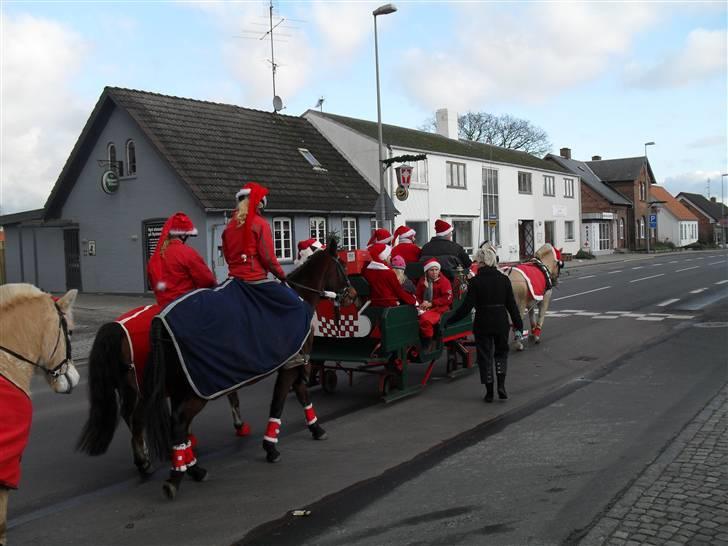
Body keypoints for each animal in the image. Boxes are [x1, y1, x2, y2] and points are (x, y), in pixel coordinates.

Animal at [75, 312, 249, 474]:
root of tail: (115, 328)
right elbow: (232, 395)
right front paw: (239, 426)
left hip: (130, 389)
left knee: (129, 417)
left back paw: (145, 455)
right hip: (144, 391)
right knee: (137, 419)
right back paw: (144, 462)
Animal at [141, 238, 354, 498]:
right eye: (343, 264)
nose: (352, 294)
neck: (300, 296)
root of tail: (160, 321)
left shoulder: (295, 363)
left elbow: (302, 394)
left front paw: (315, 428)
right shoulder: (291, 365)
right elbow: (279, 402)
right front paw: (271, 447)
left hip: (182, 387)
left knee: (180, 426)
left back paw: (193, 468)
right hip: (197, 391)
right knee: (180, 423)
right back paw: (177, 475)